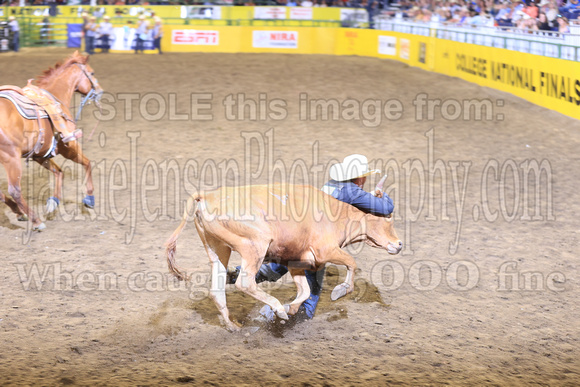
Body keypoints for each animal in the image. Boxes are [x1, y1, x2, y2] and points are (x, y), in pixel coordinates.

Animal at [0, 51, 103, 230]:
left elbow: (59, 172)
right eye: (92, 73)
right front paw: (89, 198)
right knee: (15, 190)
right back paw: (36, 220)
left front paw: (53, 202)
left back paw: (20, 212)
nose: (100, 91)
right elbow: (88, 163)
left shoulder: (40, 154)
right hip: (11, 158)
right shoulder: (68, 146)